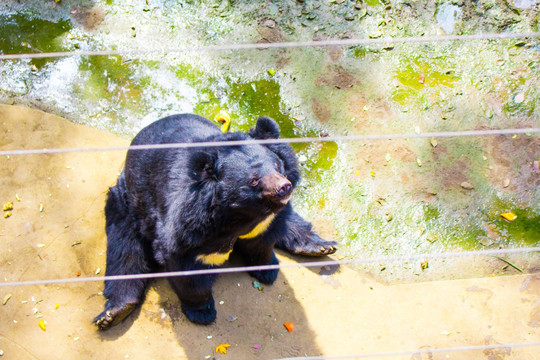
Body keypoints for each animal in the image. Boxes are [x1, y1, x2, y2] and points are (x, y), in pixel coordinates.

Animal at [95, 113, 336, 330]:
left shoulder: (267, 221)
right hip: (128, 205)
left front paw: (267, 270)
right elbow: (184, 264)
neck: (243, 212)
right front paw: (202, 312)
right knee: (125, 251)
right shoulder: (189, 220)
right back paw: (114, 312)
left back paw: (322, 246)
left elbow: (262, 242)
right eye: (254, 180)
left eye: (278, 166)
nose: (284, 187)